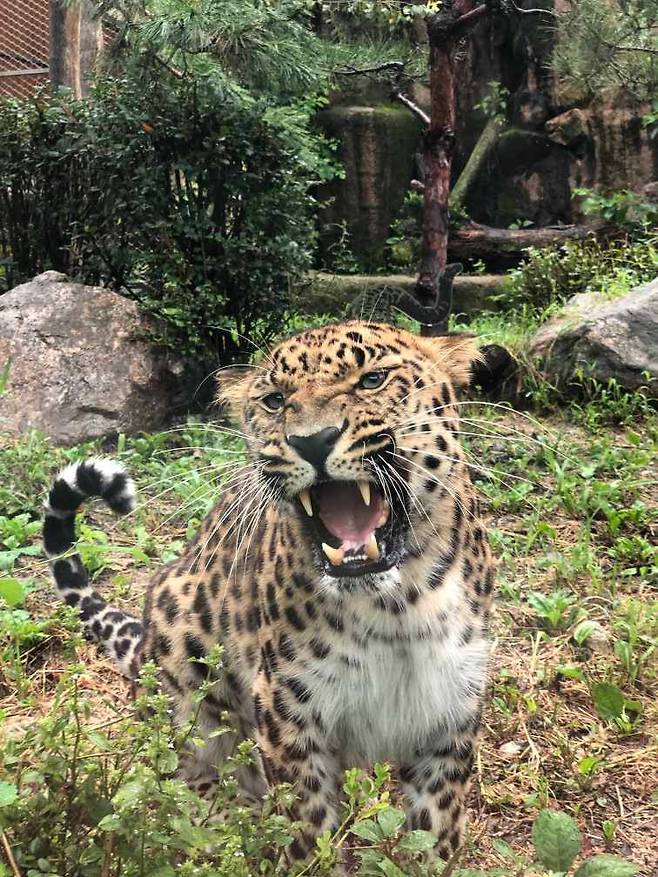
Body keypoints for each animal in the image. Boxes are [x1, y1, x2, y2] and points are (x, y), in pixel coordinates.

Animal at [42, 320, 492, 864]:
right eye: (275, 401)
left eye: (373, 380)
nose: (313, 442)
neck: (395, 607)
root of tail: (142, 639)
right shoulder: (287, 709)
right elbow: (307, 830)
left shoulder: (449, 716)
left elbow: (432, 837)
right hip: (180, 643)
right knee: (183, 770)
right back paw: (226, 819)